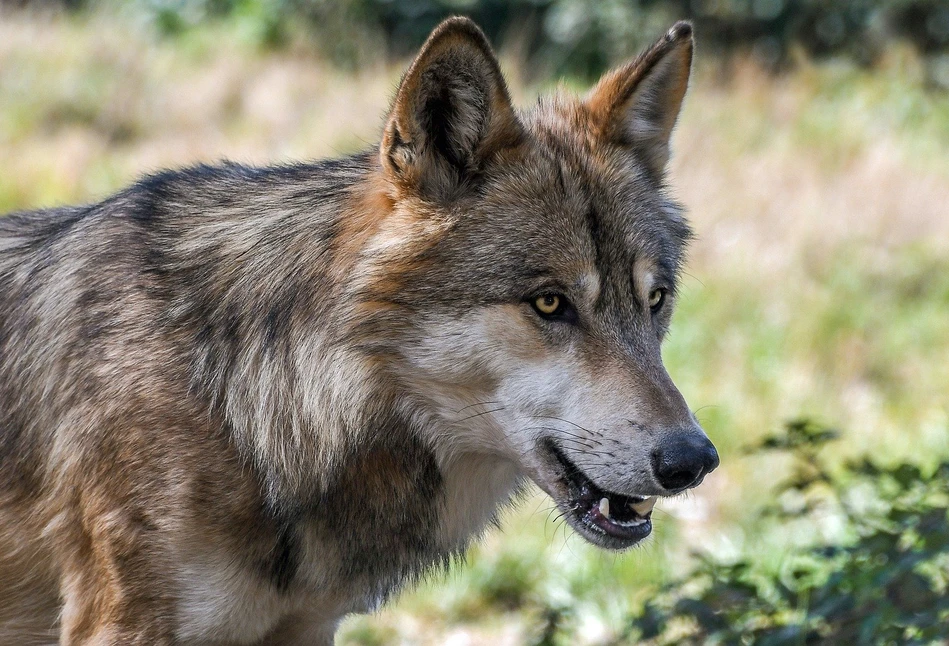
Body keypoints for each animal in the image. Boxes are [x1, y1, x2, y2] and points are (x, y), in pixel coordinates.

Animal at [0, 15, 720, 646]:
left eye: (654, 300)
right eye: (549, 304)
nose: (693, 460)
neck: (244, 404)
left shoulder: (308, 628)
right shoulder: (122, 625)